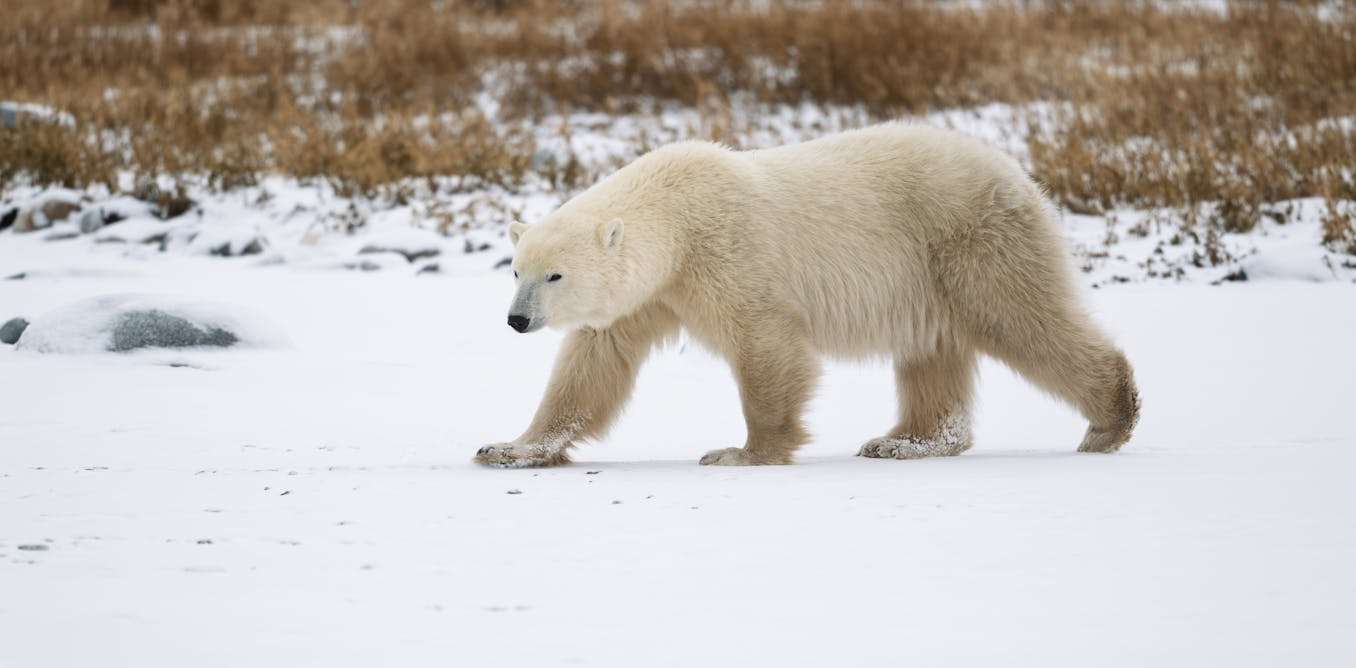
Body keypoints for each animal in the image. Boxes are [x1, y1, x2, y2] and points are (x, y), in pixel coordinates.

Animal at [475, 123, 1140, 468]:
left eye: (555, 276)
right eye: (517, 271)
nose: (516, 320)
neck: (677, 217)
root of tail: (1019, 176)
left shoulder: (728, 256)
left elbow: (766, 347)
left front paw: (741, 452)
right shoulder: (651, 294)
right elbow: (592, 366)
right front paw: (509, 447)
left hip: (969, 243)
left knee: (1023, 321)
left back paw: (1109, 421)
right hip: (931, 276)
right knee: (932, 354)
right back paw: (903, 441)